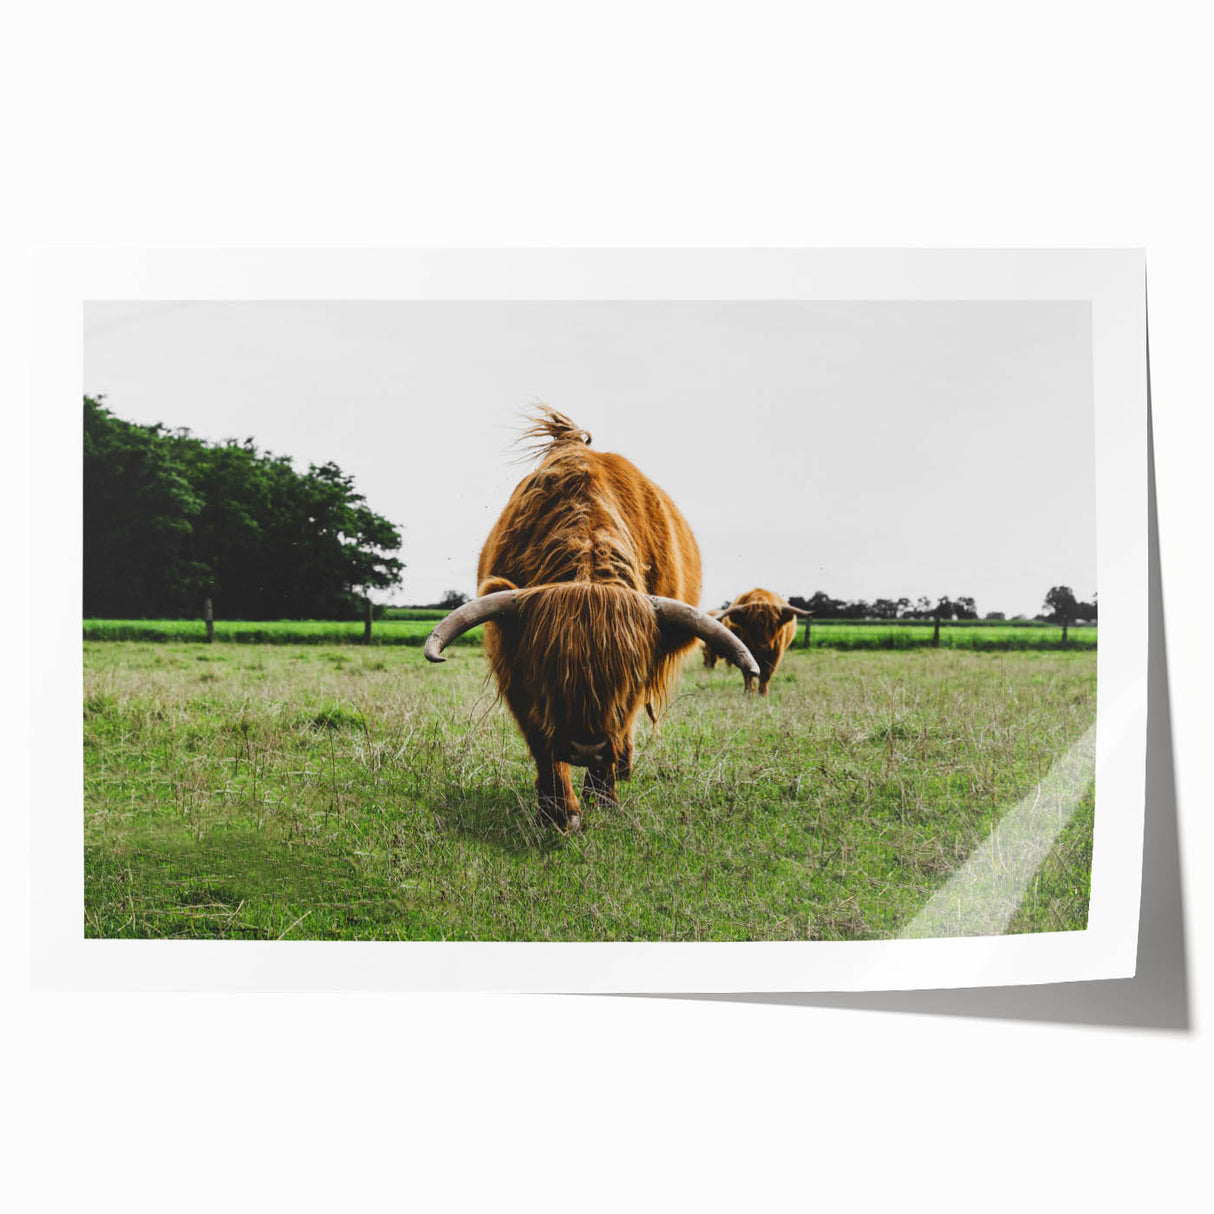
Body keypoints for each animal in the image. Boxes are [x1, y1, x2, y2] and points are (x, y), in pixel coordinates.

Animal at [424, 408, 759, 831]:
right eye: (547, 672)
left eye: (629, 678)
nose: (586, 747)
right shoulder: (516, 672)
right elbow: (543, 743)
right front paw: (558, 811)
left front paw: (603, 796)